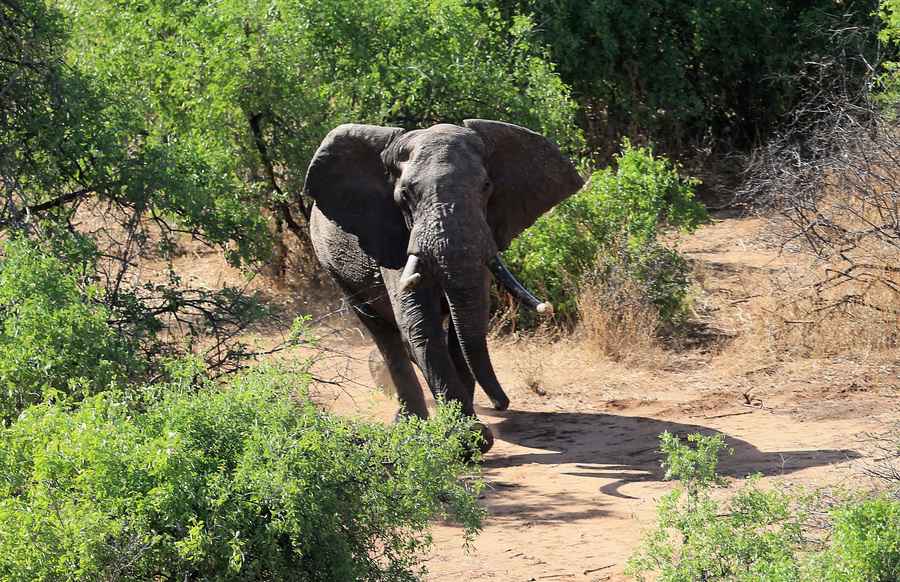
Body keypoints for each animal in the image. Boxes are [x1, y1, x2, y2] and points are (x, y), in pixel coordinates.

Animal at [302, 120, 584, 456]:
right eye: (405, 194)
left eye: (486, 186)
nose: (501, 403)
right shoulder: (392, 233)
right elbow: (419, 323)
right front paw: (468, 439)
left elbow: (466, 329)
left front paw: (467, 429)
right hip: (334, 268)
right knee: (384, 333)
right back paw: (407, 421)